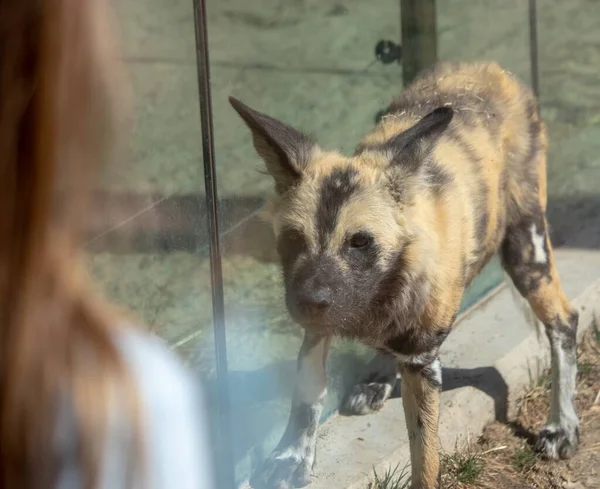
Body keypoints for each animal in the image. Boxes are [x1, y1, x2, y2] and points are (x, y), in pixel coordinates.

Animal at [227, 61, 580, 488]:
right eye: (294, 239)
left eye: (360, 242)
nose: (308, 301)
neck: (376, 297)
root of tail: (492, 70)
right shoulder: (320, 323)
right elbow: (308, 395)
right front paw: (292, 456)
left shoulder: (422, 364)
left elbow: (423, 455)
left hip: (526, 255)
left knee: (564, 322)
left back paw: (562, 425)